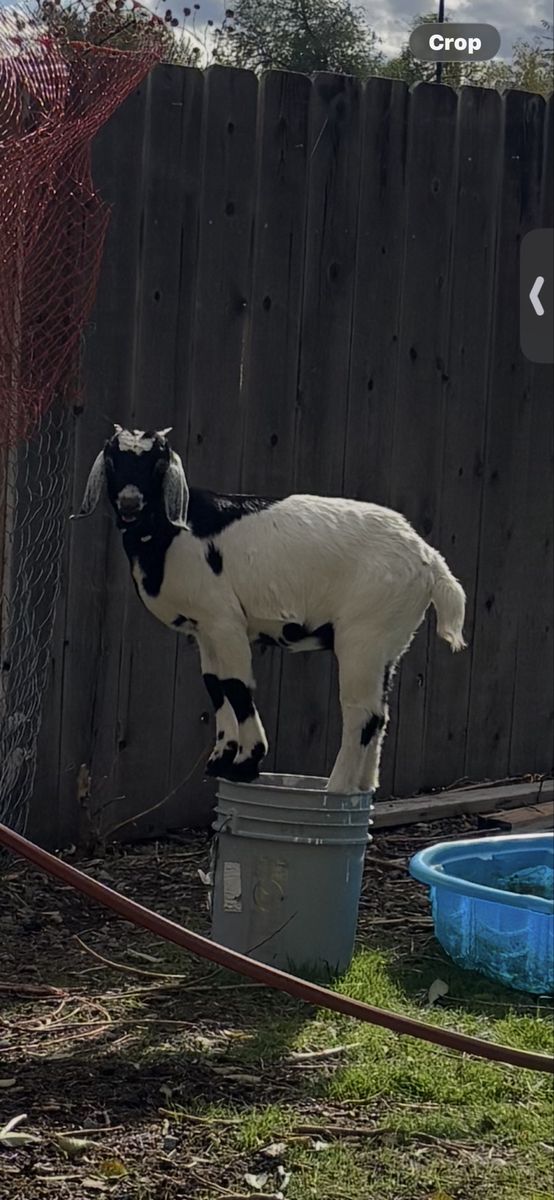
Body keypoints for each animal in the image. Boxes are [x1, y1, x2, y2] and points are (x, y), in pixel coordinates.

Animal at [73, 426, 466, 794]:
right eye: (112, 460)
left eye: (157, 462)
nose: (129, 503)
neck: (173, 532)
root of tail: (430, 560)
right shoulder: (206, 629)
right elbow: (215, 684)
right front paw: (222, 759)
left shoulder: (224, 620)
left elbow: (236, 685)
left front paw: (247, 761)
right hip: (390, 640)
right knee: (380, 715)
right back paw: (364, 786)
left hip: (364, 634)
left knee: (362, 713)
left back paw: (336, 788)